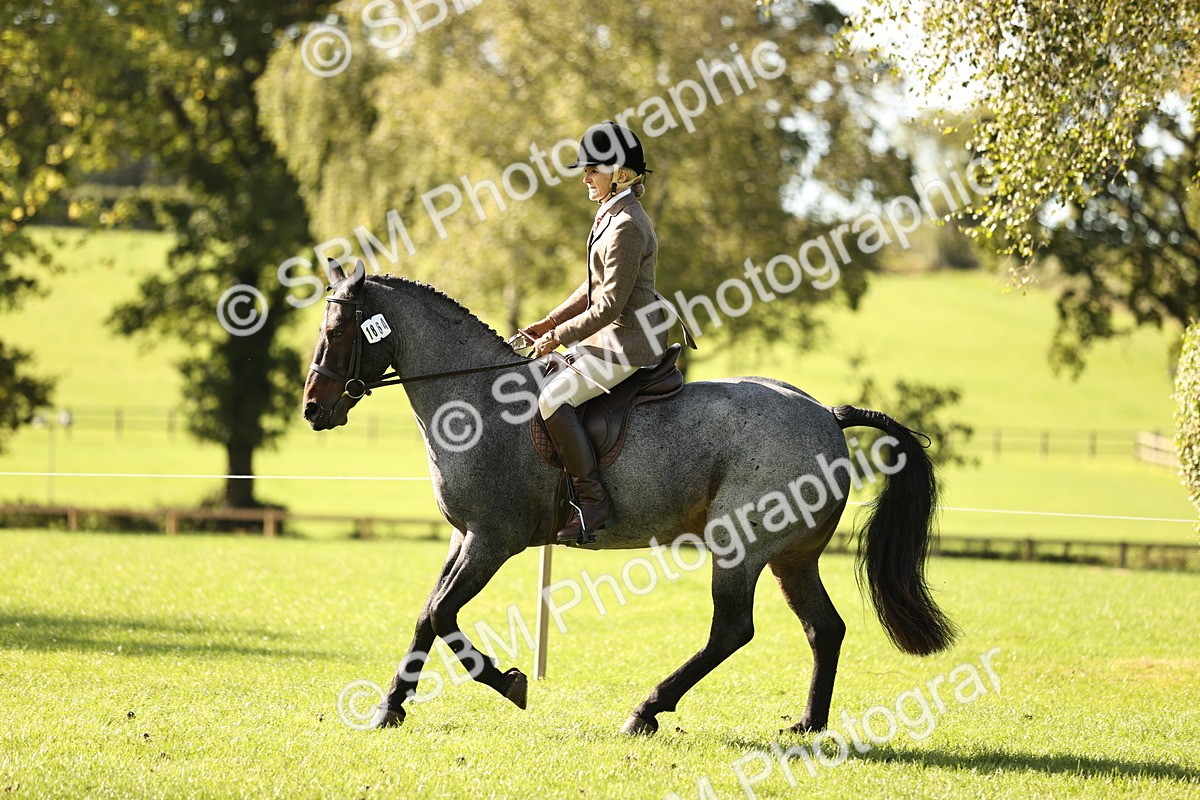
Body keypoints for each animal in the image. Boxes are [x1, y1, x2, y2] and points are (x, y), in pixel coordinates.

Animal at [302, 260, 958, 735]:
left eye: (335, 332)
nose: (313, 409)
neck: (477, 401)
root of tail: (827, 413)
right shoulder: (463, 536)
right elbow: (426, 616)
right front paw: (389, 708)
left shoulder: (493, 539)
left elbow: (443, 615)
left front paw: (509, 683)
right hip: (791, 557)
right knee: (825, 629)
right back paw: (808, 725)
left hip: (740, 546)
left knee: (732, 631)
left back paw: (646, 712)